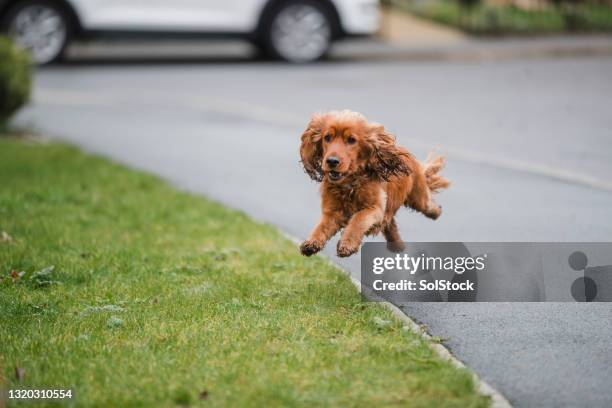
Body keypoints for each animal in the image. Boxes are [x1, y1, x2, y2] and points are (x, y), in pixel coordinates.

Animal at [300, 111, 450, 258]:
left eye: (351, 140)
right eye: (327, 137)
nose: (331, 161)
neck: (350, 183)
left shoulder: (374, 208)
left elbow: (358, 219)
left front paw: (347, 244)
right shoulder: (332, 211)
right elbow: (322, 226)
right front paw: (311, 243)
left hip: (418, 196)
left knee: (427, 204)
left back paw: (436, 212)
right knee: (390, 223)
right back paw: (397, 245)